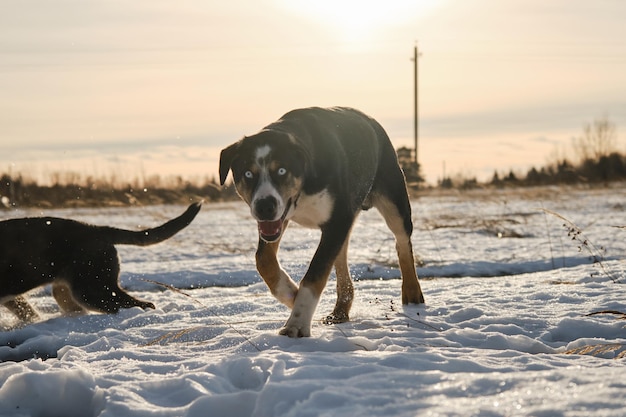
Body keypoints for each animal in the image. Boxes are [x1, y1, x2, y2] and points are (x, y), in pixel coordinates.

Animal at [0, 202, 200, 322]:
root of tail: (97, 229)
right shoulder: (13, 298)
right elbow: (28, 312)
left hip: (92, 291)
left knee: (140, 304)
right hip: (69, 291)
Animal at [219, 105, 424, 336]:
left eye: (281, 170)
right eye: (247, 173)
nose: (264, 206)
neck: (306, 183)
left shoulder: (337, 220)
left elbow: (315, 273)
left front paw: (297, 324)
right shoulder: (286, 221)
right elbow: (264, 260)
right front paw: (292, 294)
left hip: (393, 202)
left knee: (402, 242)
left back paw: (412, 292)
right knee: (342, 260)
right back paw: (340, 311)